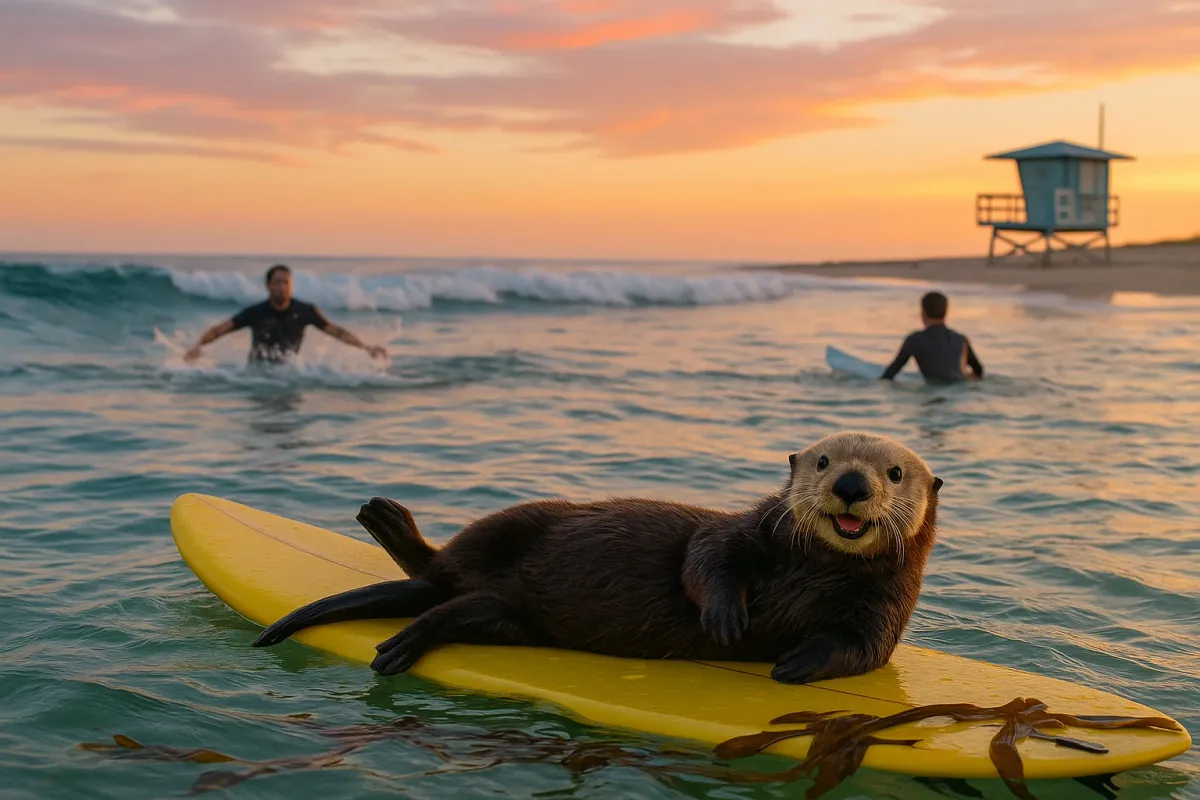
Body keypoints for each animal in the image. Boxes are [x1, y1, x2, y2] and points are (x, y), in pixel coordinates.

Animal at [253, 431, 943, 684]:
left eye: (895, 472)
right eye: (824, 460)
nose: (852, 484)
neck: (817, 566)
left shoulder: (886, 603)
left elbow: (862, 645)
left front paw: (792, 662)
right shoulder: (751, 531)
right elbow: (707, 554)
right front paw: (727, 620)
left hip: (505, 618)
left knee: (452, 605)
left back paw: (402, 642)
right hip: (517, 522)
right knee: (434, 562)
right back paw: (385, 520)